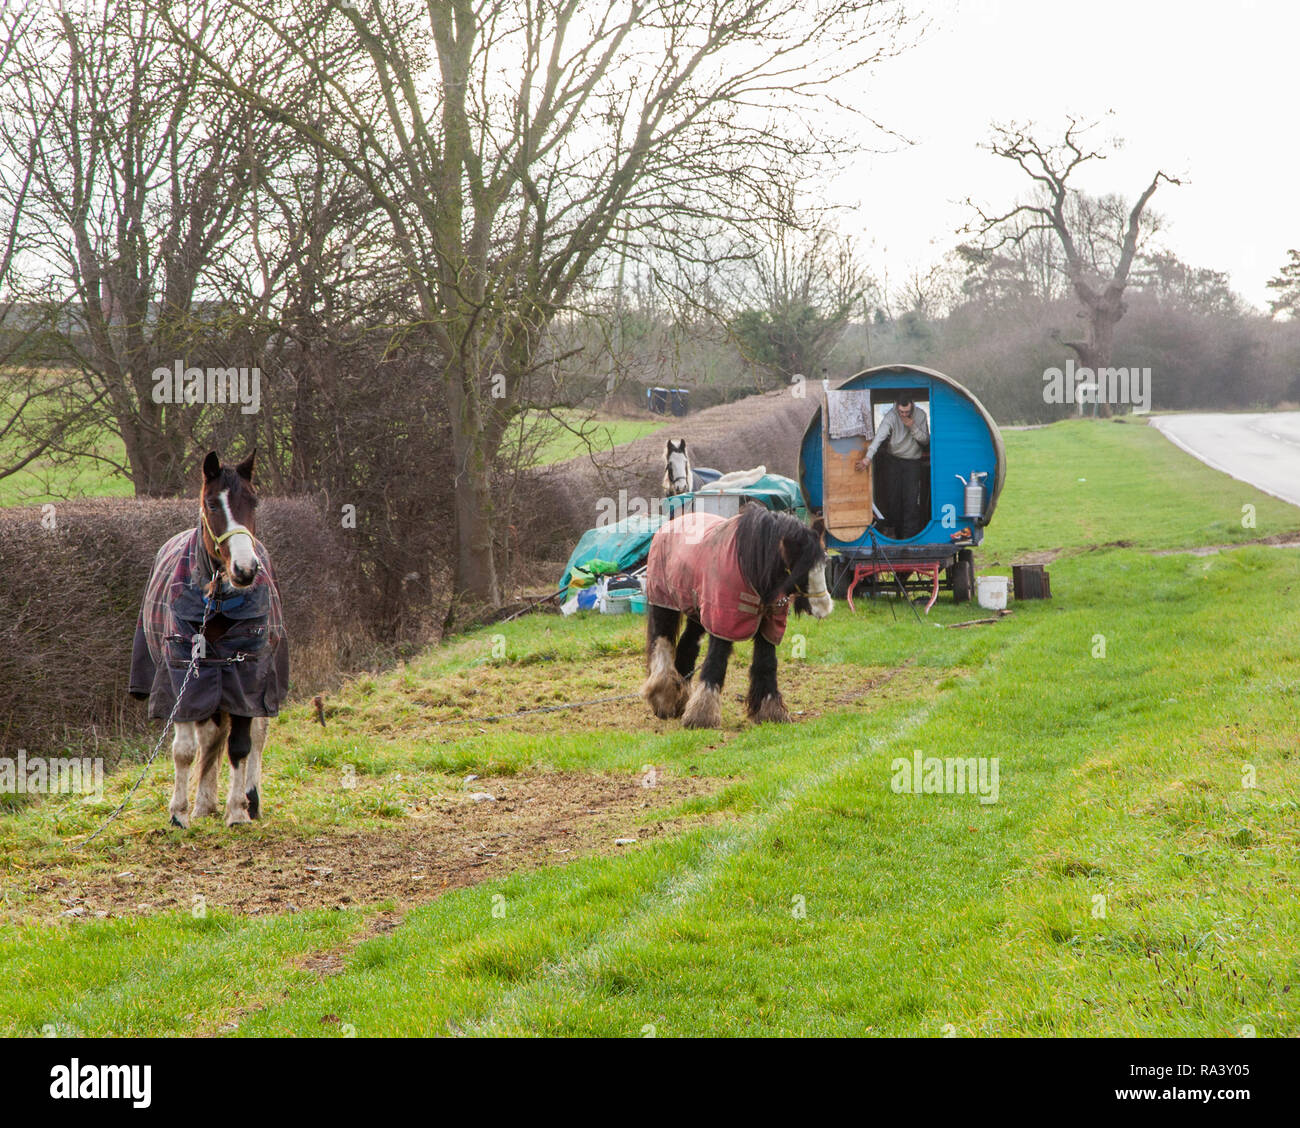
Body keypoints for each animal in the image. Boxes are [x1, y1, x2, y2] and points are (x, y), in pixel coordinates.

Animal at [129, 450, 289, 827]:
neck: (216, 604)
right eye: (213, 504)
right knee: (209, 736)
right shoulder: (180, 677)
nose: (245, 569)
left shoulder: (247, 678)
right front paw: (179, 814)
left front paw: (238, 812)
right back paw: (203, 803)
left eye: (253, 501)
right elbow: (185, 751)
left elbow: (241, 745)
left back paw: (250, 799)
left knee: (256, 735)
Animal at [642, 504, 833, 728]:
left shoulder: (768, 626)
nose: (824, 607)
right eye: (800, 570)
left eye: (825, 562)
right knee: (661, 644)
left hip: (697, 614)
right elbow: (716, 662)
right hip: (664, 605)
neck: (752, 567)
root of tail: (670, 524)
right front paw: (702, 715)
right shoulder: (723, 623)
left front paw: (770, 711)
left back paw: (679, 699)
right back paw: (663, 697)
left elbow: (766, 663)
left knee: (687, 648)